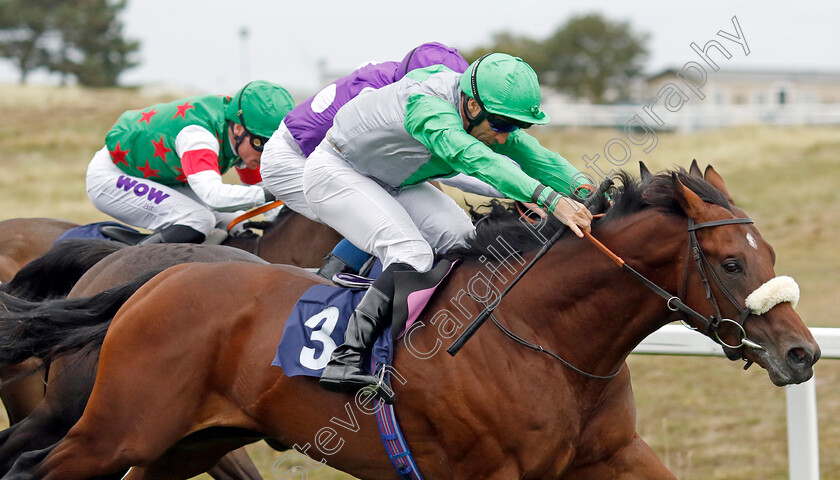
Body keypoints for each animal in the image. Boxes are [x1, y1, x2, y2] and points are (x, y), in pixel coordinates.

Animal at [0, 166, 812, 480]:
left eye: (769, 253)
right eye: (731, 264)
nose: (803, 352)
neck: (547, 338)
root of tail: (151, 280)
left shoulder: (610, 454)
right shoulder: (491, 473)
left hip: (189, 439)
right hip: (118, 425)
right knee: (33, 464)